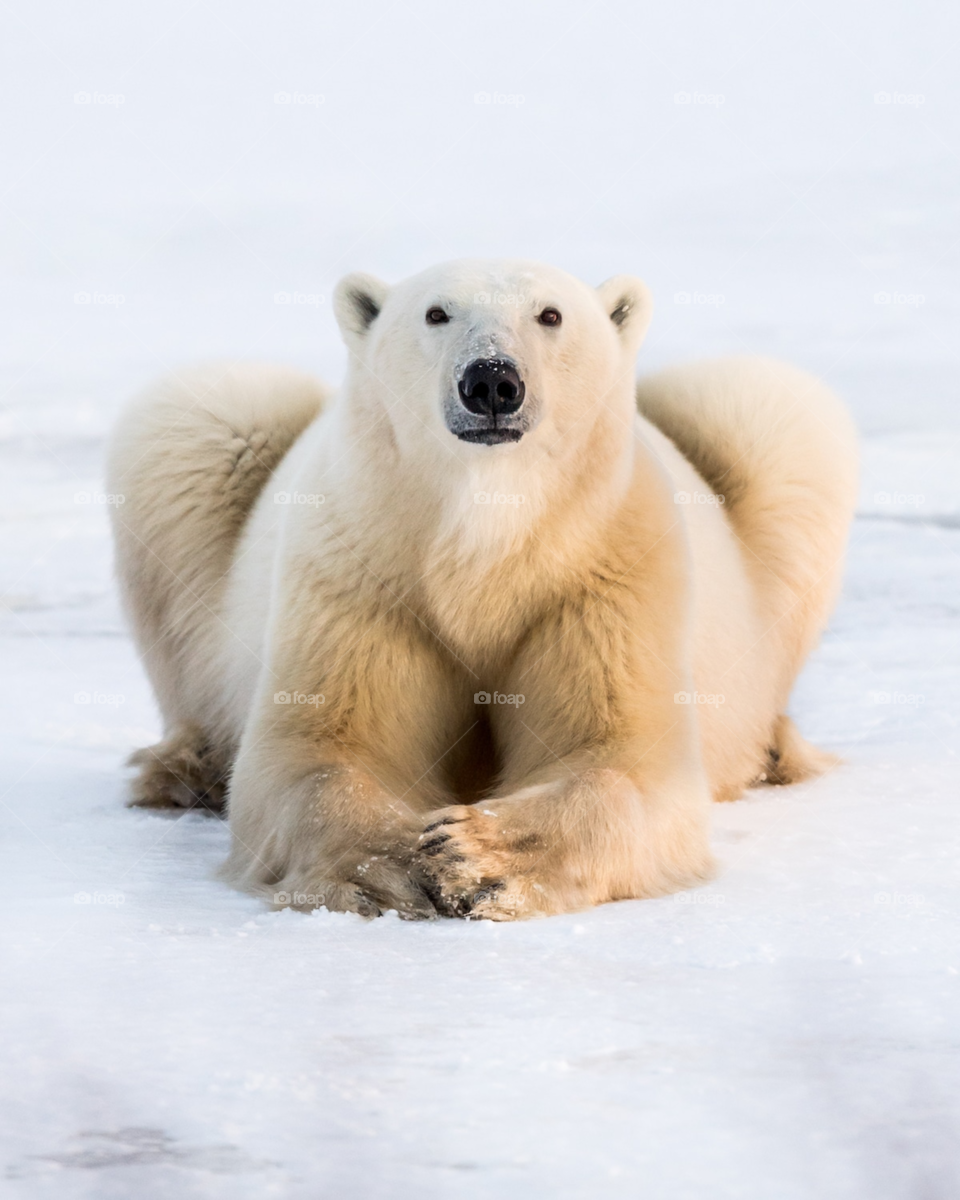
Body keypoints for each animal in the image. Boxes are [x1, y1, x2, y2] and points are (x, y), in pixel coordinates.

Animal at [107, 259, 858, 921]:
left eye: (550, 314)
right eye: (436, 312)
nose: (492, 380)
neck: (483, 537)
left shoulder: (602, 570)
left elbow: (619, 754)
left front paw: (477, 857)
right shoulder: (365, 569)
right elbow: (322, 750)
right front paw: (396, 866)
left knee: (764, 410)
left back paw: (776, 749)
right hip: (212, 456)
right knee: (205, 414)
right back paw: (188, 768)